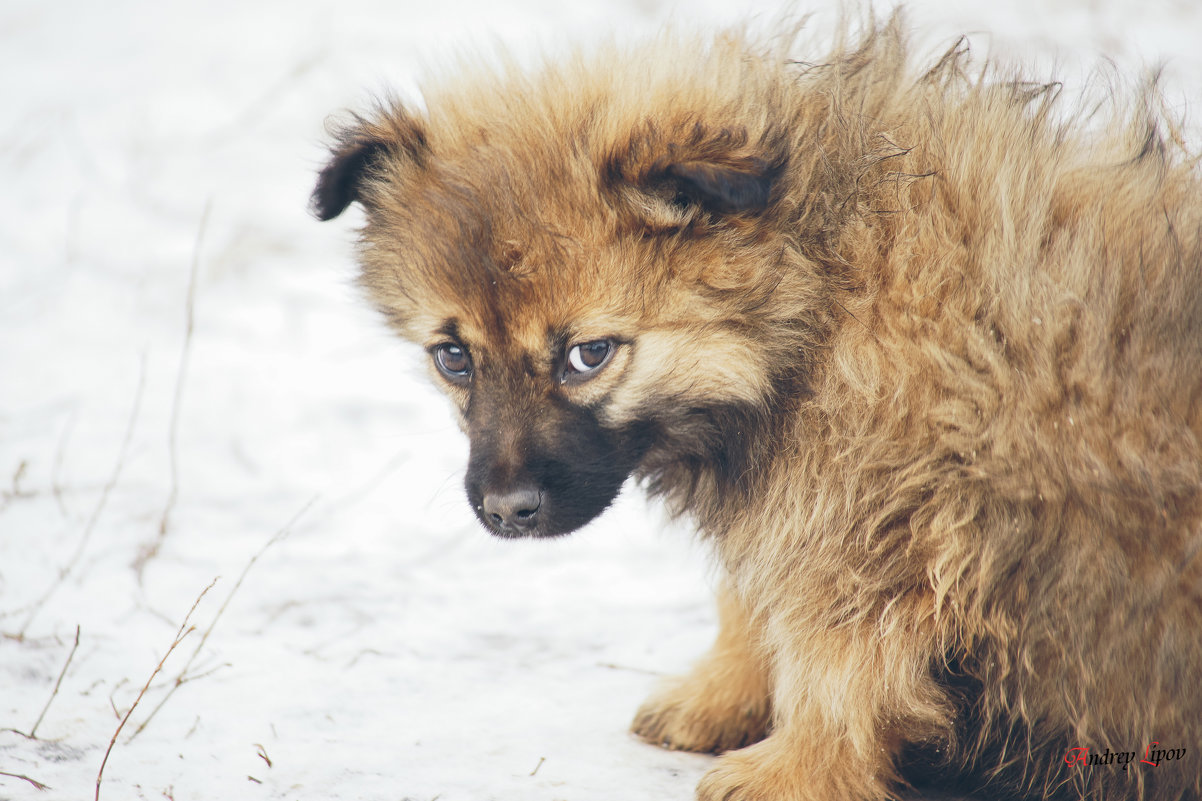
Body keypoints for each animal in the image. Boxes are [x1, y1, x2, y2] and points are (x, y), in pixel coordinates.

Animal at [312, 17, 1202, 798]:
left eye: (588, 354)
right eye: (453, 357)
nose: (506, 510)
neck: (819, 290)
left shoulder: (877, 517)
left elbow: (836, 657)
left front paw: (798, 770)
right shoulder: (795, 488)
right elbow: (751, 599)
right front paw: (724, 695)